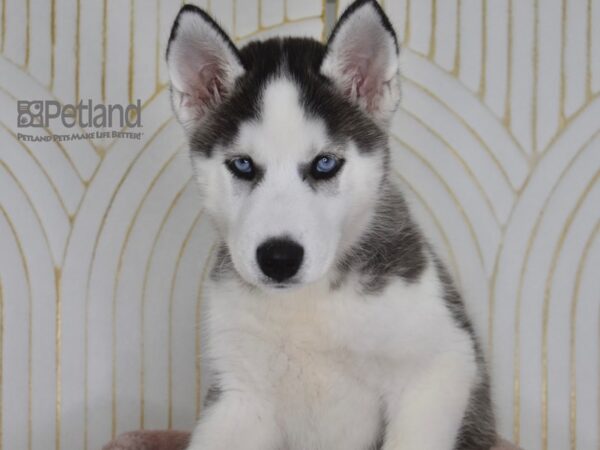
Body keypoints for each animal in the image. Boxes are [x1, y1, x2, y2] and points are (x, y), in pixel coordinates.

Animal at [165, 1, 496, 448]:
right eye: (242, 165)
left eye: (325, 163)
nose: (279, 258)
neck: (309, 304)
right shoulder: (241, 391)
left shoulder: (440, 363)